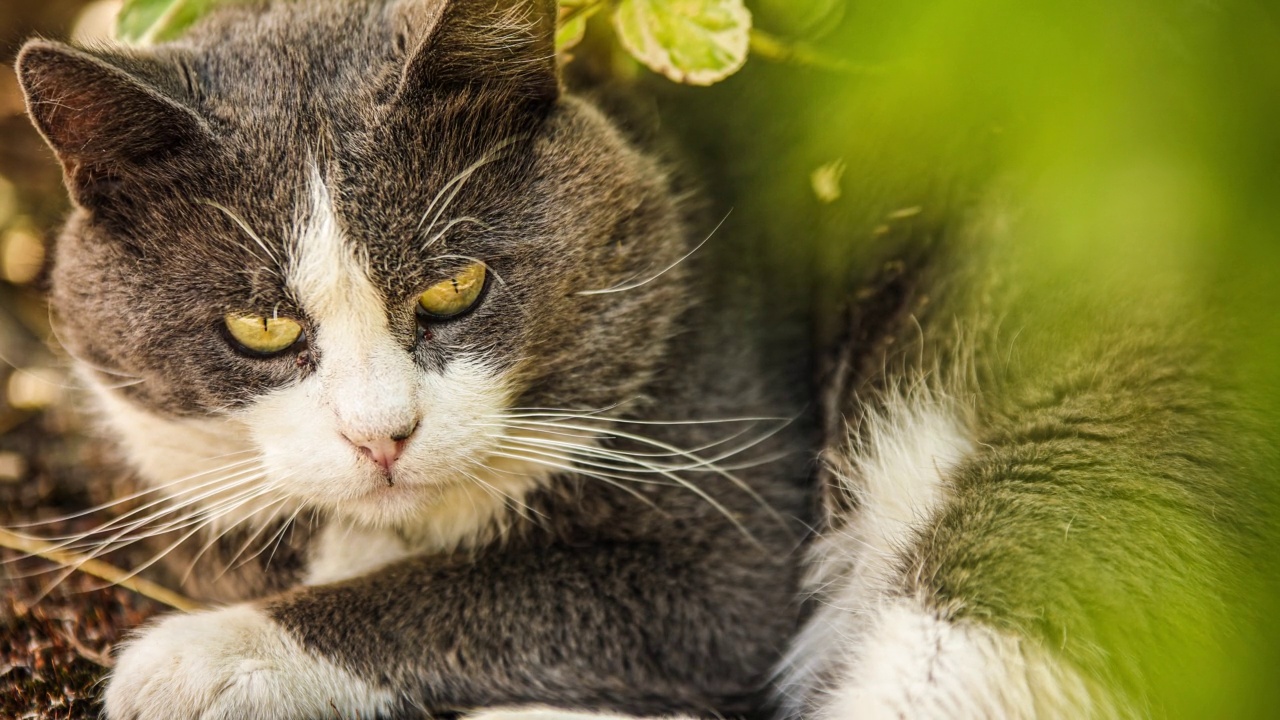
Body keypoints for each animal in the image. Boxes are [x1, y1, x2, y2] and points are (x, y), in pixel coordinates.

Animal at [15, 1, 814, 717]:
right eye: (261, 327)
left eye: (454, 287)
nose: (381, 437)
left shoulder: (725, 559)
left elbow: (487, 592)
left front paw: (199, 661)